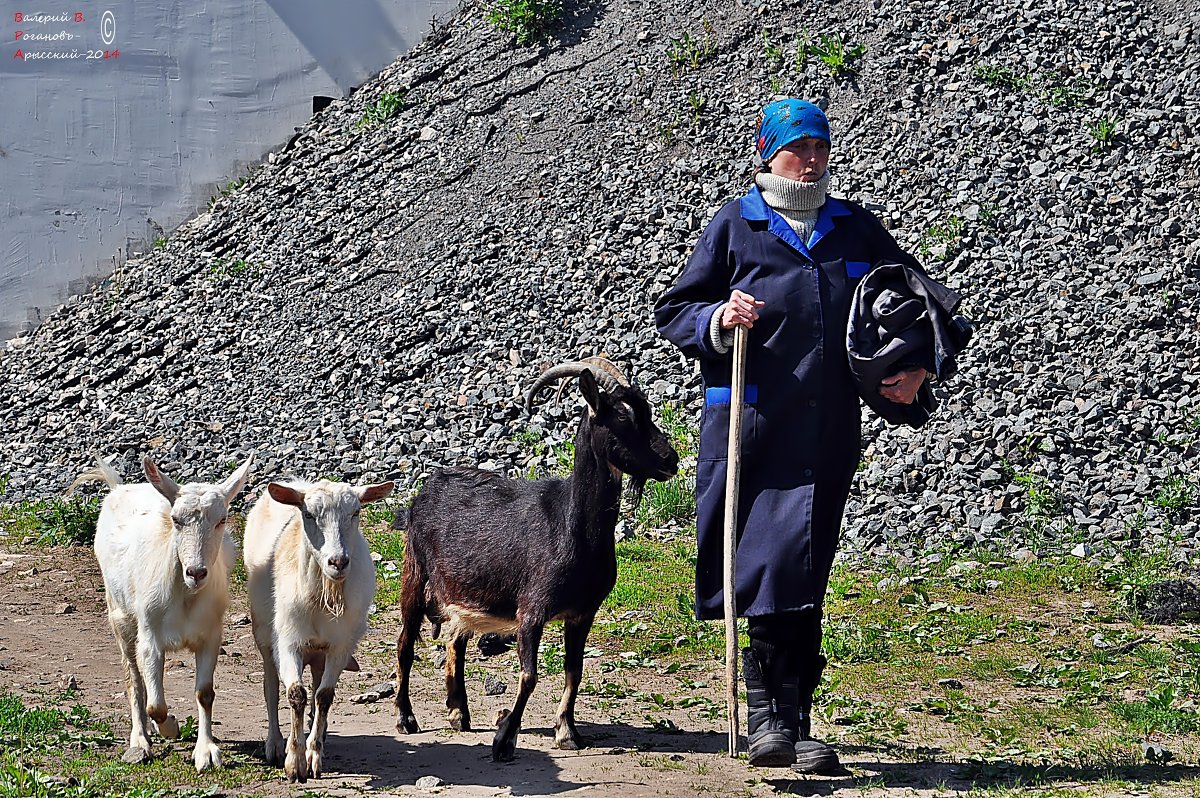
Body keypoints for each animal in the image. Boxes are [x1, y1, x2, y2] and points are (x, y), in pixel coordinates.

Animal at [86, 453, 253, 772]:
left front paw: (206, 752)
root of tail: (118, 488)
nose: (196, 572)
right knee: (134, 679)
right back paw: (140, 739)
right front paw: (170, 727)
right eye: (176, 520)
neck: (185, 597)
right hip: (120, 617)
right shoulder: (150, 637)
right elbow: (156, 705)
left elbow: (204, 693)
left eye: (222, 519)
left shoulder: (211, 636)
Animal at [243, 475, 393, 782]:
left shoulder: (339, 647)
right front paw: (293, 761)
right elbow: (295, 694)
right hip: (264, 634)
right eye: (309, 514)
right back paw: (275, 743)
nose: (338, 562)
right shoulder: (288, 641)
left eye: (356, 512)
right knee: (270, 685)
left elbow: (323, 697)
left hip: (320, 652)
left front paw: (313, 756)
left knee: (316, 686)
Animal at [391, 360, 676, 758]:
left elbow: (575, 671)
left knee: (455, 640)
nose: (671, 460)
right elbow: (529, 675)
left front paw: (567, 732)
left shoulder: (582, 613)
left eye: (646, 409)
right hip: (415, 572)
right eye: (621, 415)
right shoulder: (532, 609)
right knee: (405, 643)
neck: (570, 527)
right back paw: (406, 718)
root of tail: (425, 491)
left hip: (462, 590)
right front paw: (504, 739)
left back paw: (458, 711)